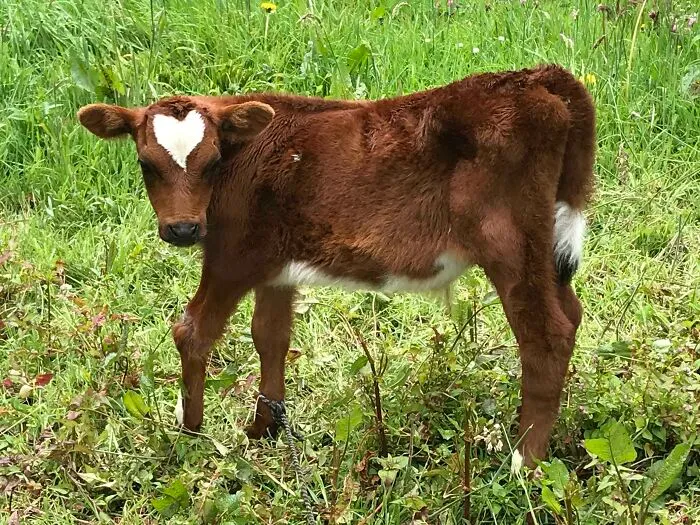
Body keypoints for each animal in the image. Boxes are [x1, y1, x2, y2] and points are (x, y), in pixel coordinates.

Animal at [77, 64, 595, 466]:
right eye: (146, 164)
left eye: (211, 162)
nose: (183, 229)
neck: (246, 154)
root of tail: (535, 77)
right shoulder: (275, 265)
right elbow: (270, 335)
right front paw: (265, 430)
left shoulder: (233, 253)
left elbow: (193, 330)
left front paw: (191, 433)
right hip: (544, 244)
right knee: (570, 314)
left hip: (508, 242)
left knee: (545, 334)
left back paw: (524, 461)